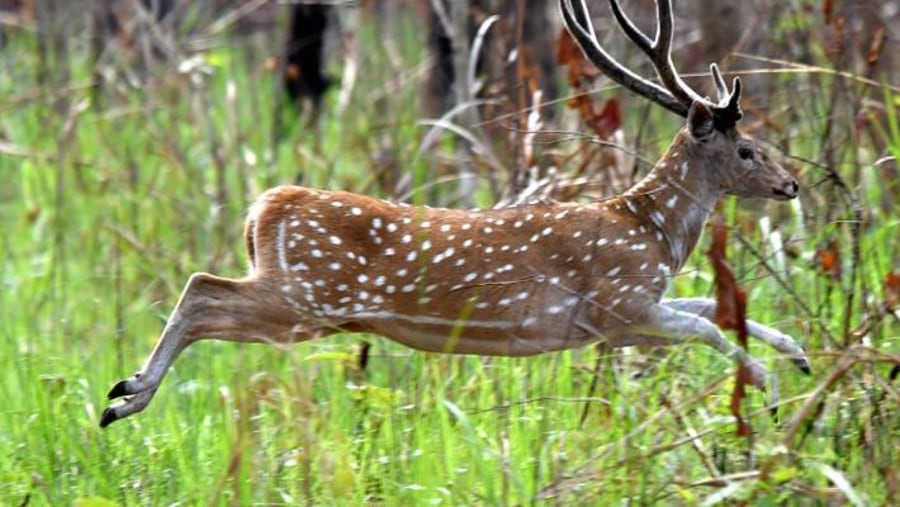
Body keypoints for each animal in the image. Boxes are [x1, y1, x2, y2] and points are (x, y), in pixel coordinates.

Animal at [98, 0, 808, 428]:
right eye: (747, 148)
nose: (792, 184)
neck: (650, 231)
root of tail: (265, 207)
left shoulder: (624, 318)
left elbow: (716, 307)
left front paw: (797, 356)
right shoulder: (617, 304)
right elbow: (709, 323)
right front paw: (769, 390)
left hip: (305, 302)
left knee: (203, 290)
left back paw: (122, 394)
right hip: (306, 297)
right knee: (202, 289)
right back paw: (125, 396)